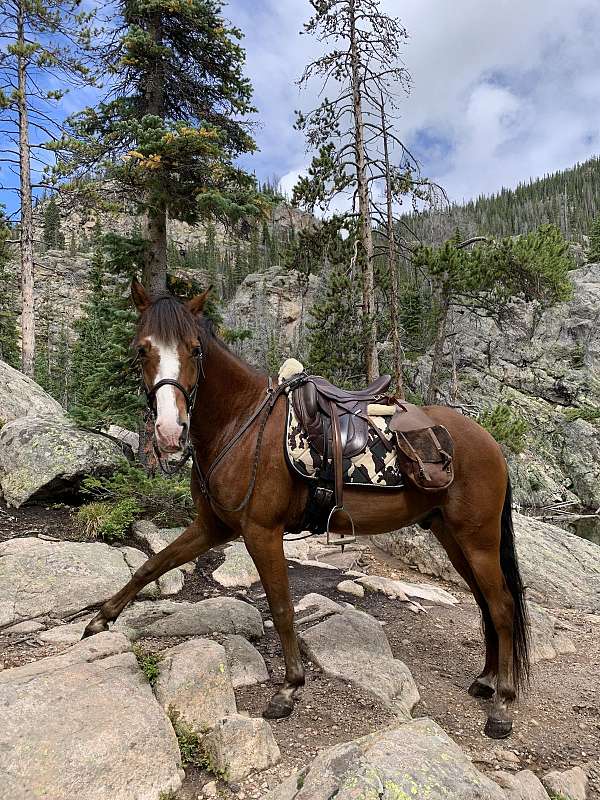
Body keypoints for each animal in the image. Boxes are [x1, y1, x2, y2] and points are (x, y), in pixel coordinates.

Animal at [83, 278, 528, 740]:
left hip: (478, 539)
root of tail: (491, 443)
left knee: (502, 607)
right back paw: (486, 680)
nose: (171, 432)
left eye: (194, 349)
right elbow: (151, 566)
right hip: (454, 538)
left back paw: (503, 704)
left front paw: (289, 688)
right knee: (485, 604)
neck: (240, 425)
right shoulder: (213, 526)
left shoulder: (261, 531)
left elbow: (281, 606)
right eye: (141, 349)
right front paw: (99, 621)